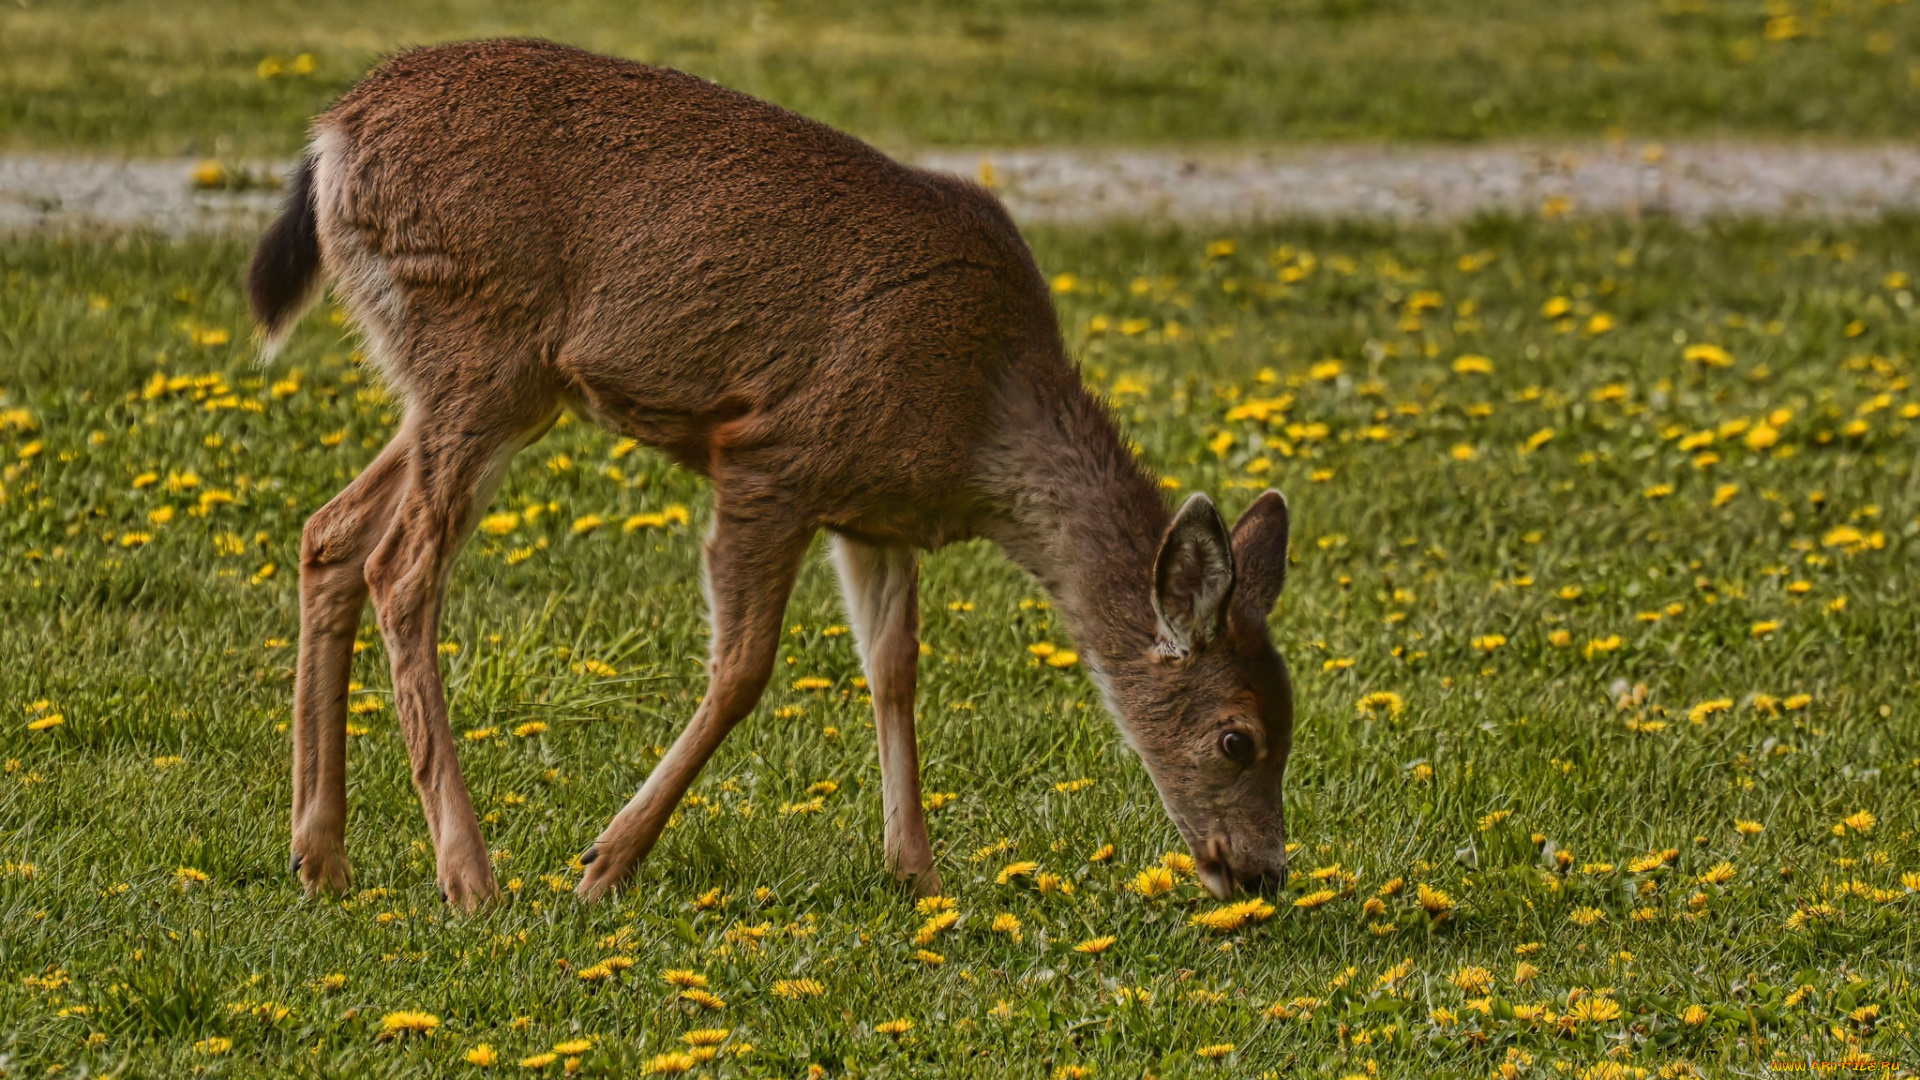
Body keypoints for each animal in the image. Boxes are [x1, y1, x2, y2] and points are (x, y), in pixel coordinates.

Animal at [243, 37, 1290, 907]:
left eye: (1291, 720)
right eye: (1237, 736)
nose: (1265, 872)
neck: (983, 418)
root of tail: (332, 136)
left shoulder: (875, 513)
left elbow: (894, 669)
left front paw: (916, 873)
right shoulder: (774, 457)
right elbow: (744, 669)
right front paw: (605, 863)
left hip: (470, 380)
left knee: (331, 533)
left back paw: (321, 858)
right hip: (476, 339)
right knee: (401, 568)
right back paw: (469, 875)